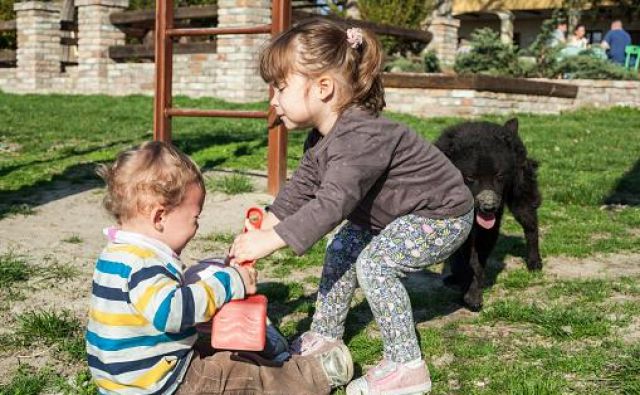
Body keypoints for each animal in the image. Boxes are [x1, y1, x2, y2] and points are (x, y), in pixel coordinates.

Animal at [436, 119, 540, 310]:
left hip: (522, 198)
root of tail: (507, 127)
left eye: (499, 176)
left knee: (531, 228)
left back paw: (534, 262)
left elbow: (477, 261)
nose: (489, 208)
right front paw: (464, 284)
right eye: (470, 177)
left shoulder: (488, 229)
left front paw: (472, 295)